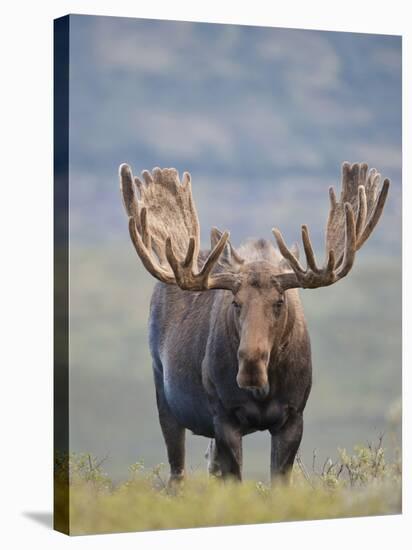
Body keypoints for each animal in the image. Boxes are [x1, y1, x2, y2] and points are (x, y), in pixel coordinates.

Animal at [118, 162, 390, 486]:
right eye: (235, 302)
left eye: (279, 302)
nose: (250, 365)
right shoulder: (224, 416)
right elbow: (235, 480)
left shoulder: (293, 417)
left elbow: (277, 482)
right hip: (164, 393)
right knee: (177, 472)